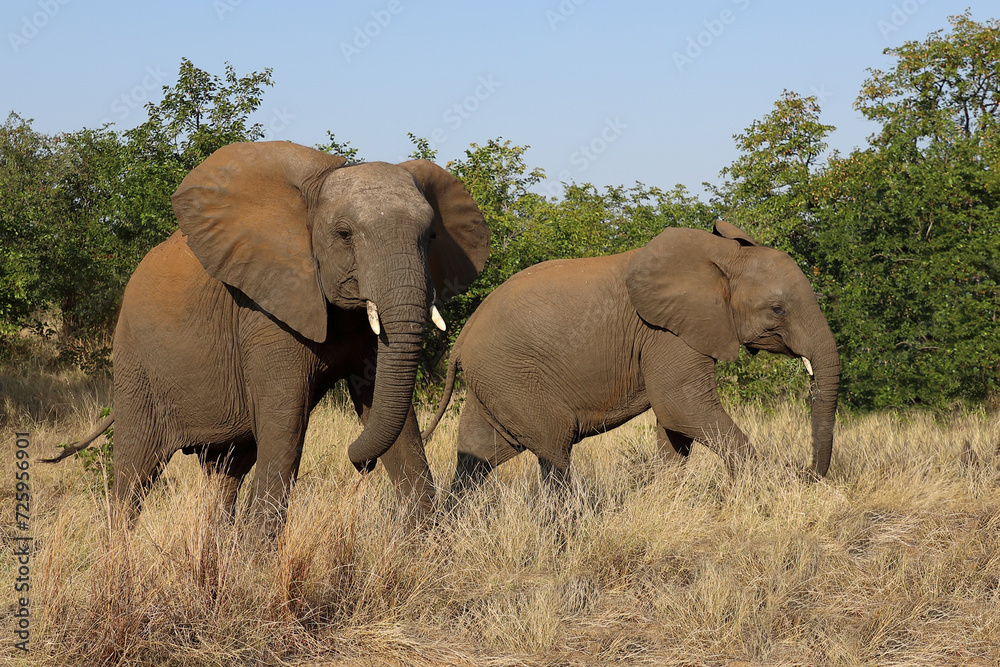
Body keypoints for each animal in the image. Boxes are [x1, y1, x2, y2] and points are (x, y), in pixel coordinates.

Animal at [47, 141, 492, 524]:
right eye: (344, 234)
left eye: (431, 237)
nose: (358, 463)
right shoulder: (265, 309)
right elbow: (286, 422)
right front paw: (257, 563)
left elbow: (395, 419)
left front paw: (427, 545)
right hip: (136, 364)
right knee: (135, 470)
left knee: (225, 471)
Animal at [418, 222, 840, 494]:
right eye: (778, 310)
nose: (805, 475)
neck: (721, 256)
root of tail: (462, 339)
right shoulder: (666, 334)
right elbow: (681, 406)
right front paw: (763, 491)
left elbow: (676, 425)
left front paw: (667, 501)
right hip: (513, 376)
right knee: (554, 446)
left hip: (495, 381)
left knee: (478, 455)